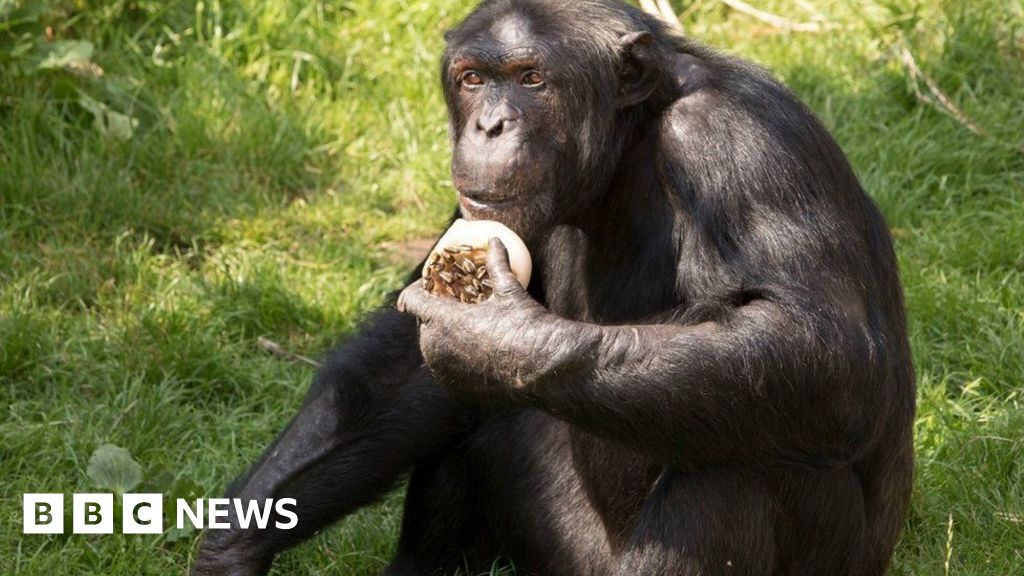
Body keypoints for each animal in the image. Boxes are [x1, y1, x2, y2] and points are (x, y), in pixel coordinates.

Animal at [192, 1, 913, 573]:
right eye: (473, 79)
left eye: (532, 78)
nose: (489, 125)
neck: (628, 147)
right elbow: (400, 362)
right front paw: (234, 543)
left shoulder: (743, 143)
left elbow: (822, 346)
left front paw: (493, 338)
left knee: (745, 456)